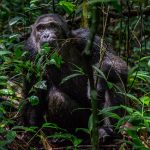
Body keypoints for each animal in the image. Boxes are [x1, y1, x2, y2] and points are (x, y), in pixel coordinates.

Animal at [23, 13, 127, 142]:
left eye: (53, 26)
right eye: (40, 28)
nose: (46, 35)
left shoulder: (87, 38)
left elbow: (115, 61)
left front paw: (98, 82)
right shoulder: (29, 53)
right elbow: (32, 96)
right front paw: (32, 130)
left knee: (114, 81)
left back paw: (108, 130)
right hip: (87, 123)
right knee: (57, 98)